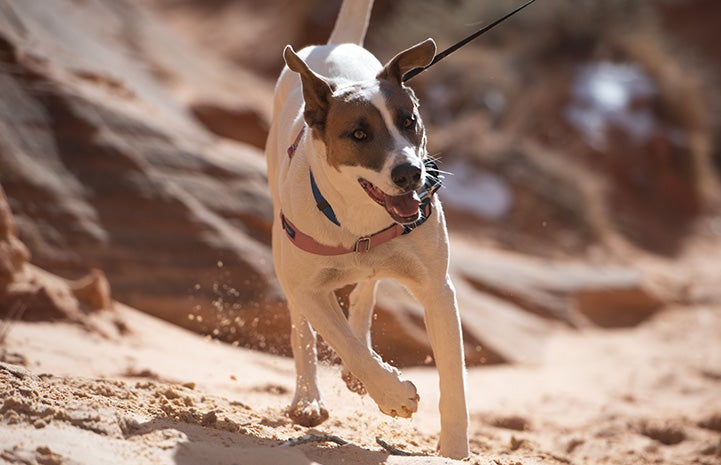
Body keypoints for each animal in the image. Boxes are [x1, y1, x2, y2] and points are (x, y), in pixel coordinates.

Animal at [262, 0, 466, 456]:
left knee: (367, 287)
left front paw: (454, 453)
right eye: (358, 133)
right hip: (284, 247)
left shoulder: (436, 289)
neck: (360, 221)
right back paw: (308, 399)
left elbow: (453, 383)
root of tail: (338, 43)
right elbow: (340, 341)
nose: (409, 173)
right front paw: (393, 394)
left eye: (409, 121)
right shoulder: (307, 285)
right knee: (302, 323)